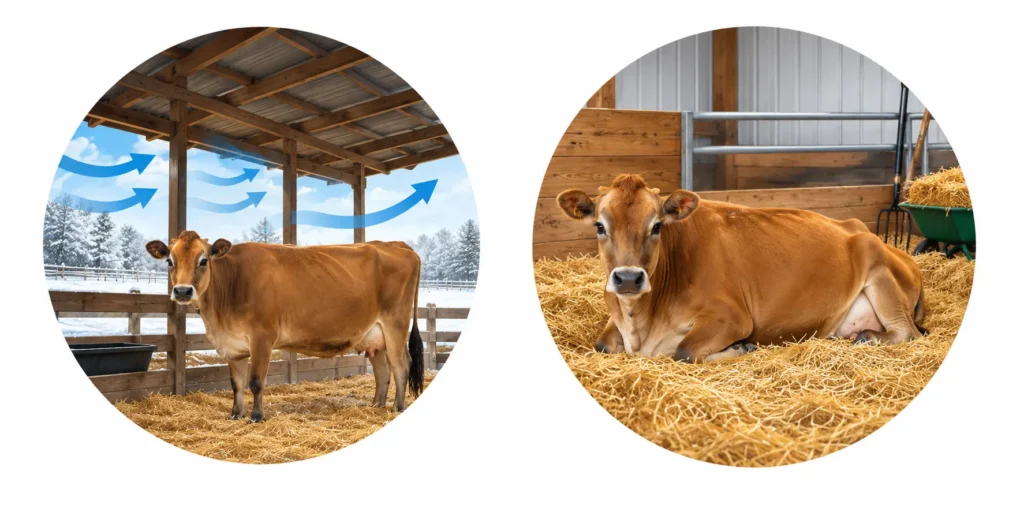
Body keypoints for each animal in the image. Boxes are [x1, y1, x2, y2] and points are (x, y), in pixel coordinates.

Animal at [145, 231, 424, 422]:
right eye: (170, 261)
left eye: (203, 260)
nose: (182, 291)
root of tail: (396, 244)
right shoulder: (233, 346)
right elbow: (236, 384)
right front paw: (235, 415)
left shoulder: (262, 337)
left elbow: (256, 381)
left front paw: (256, 417)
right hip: (375, 334)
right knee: (382, 371)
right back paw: (376, 406)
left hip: (395, 324)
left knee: (401, 366)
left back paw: (398, 408)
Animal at [556, 174, 926, 363]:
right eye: (599, 226)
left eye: (657, 225)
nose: (629, 278)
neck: (641, 323)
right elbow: (602, 345)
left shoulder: (732, 316)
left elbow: (684, 352)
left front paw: (740, 347)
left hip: (878, 270)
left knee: (906, 331)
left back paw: (868, 337)